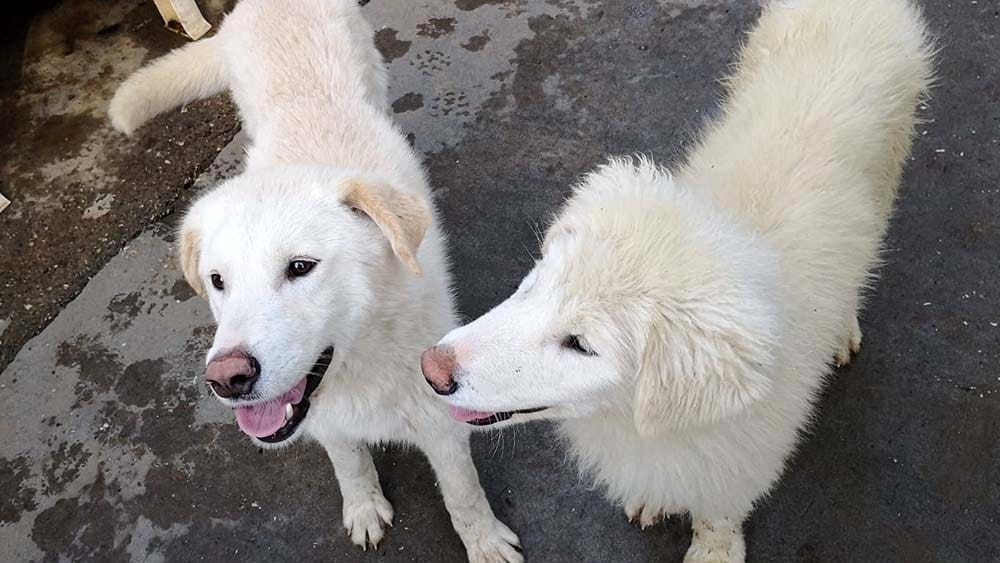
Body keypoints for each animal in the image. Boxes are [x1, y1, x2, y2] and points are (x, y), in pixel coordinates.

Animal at [110, 2, 524, 560]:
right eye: (218, 281)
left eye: (300, 267)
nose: (227, 379)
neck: (360, 363)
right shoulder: (322, 418)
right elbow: (349, 464)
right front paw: (364, 506)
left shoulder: (441, 419)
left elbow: (463, 494)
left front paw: (483, 543)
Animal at [418, 0, 932, 560]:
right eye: (534, 284)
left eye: (581, 344)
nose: (431, 369)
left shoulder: (744, 452)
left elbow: (719, 508)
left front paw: (714, 549)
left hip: (890, 169)